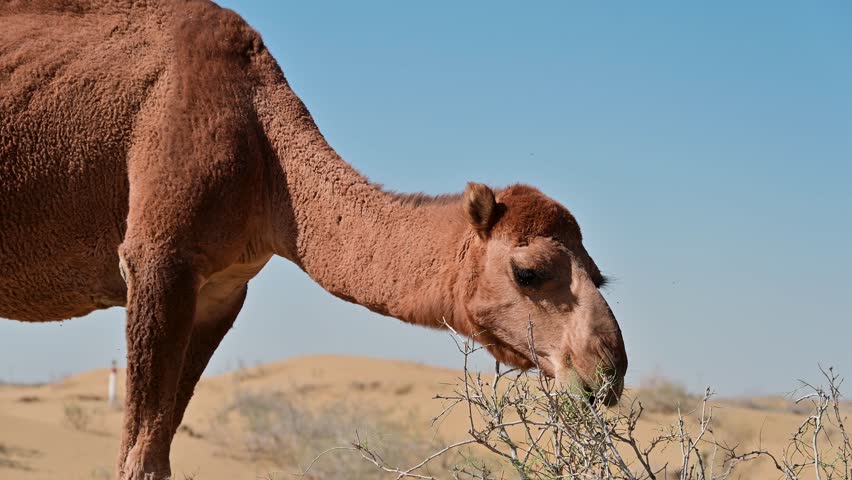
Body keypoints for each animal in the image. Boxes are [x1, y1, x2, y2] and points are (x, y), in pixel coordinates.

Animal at [0, 1, 628, 479]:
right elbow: (141, 457)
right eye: (528, 272)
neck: (264, 150)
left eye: (599, 274)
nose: (607, 372)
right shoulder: (158, 257)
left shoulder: (221, 288)